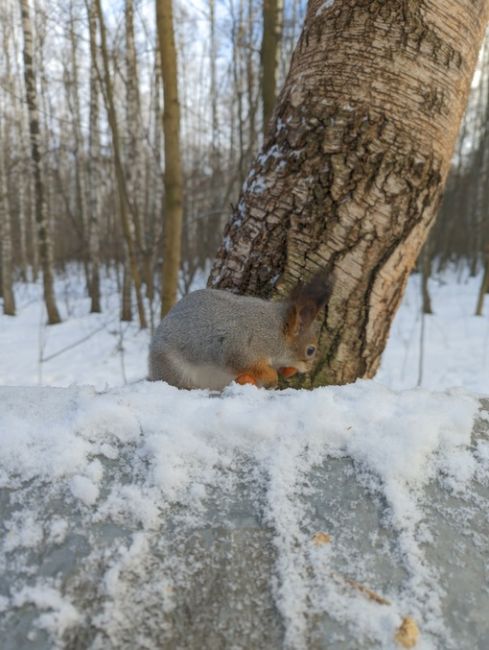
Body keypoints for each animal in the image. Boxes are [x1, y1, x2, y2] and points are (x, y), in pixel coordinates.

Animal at [149, 270, 332, 390]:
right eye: (310, 350)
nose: (308, 369)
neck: (274, 331)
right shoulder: (241, 348)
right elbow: (248, 365)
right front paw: (272, 379)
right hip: (175, 369)